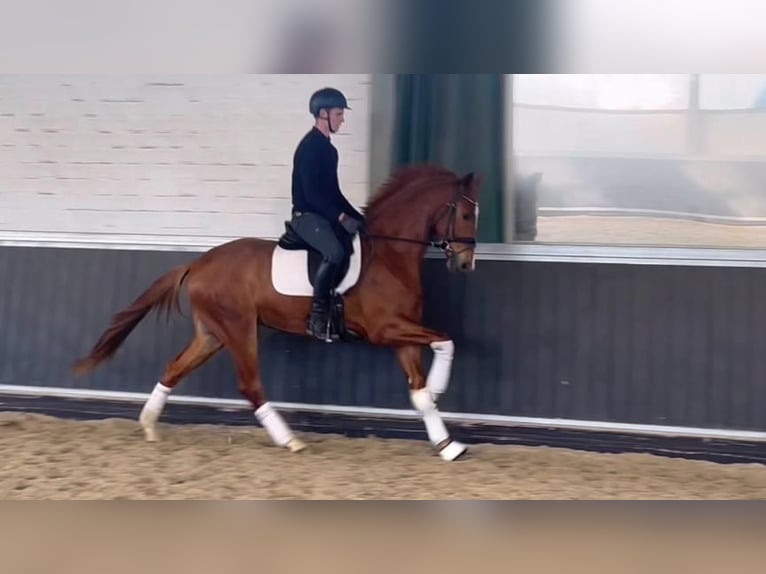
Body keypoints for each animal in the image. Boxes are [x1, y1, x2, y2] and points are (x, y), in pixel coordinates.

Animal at [71, 164, 484, 462]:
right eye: (466, 214)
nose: (466, 264)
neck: (389, 255)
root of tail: (199, 263)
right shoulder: (387, 329)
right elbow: (447, 340)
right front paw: (441, 388)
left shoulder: (402, 333)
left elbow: (421, 388)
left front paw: (447, 444)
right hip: (239, 329)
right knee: (250, 385)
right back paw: (289, 440)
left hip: (212, 334)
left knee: (175, 368)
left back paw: (149, 426)